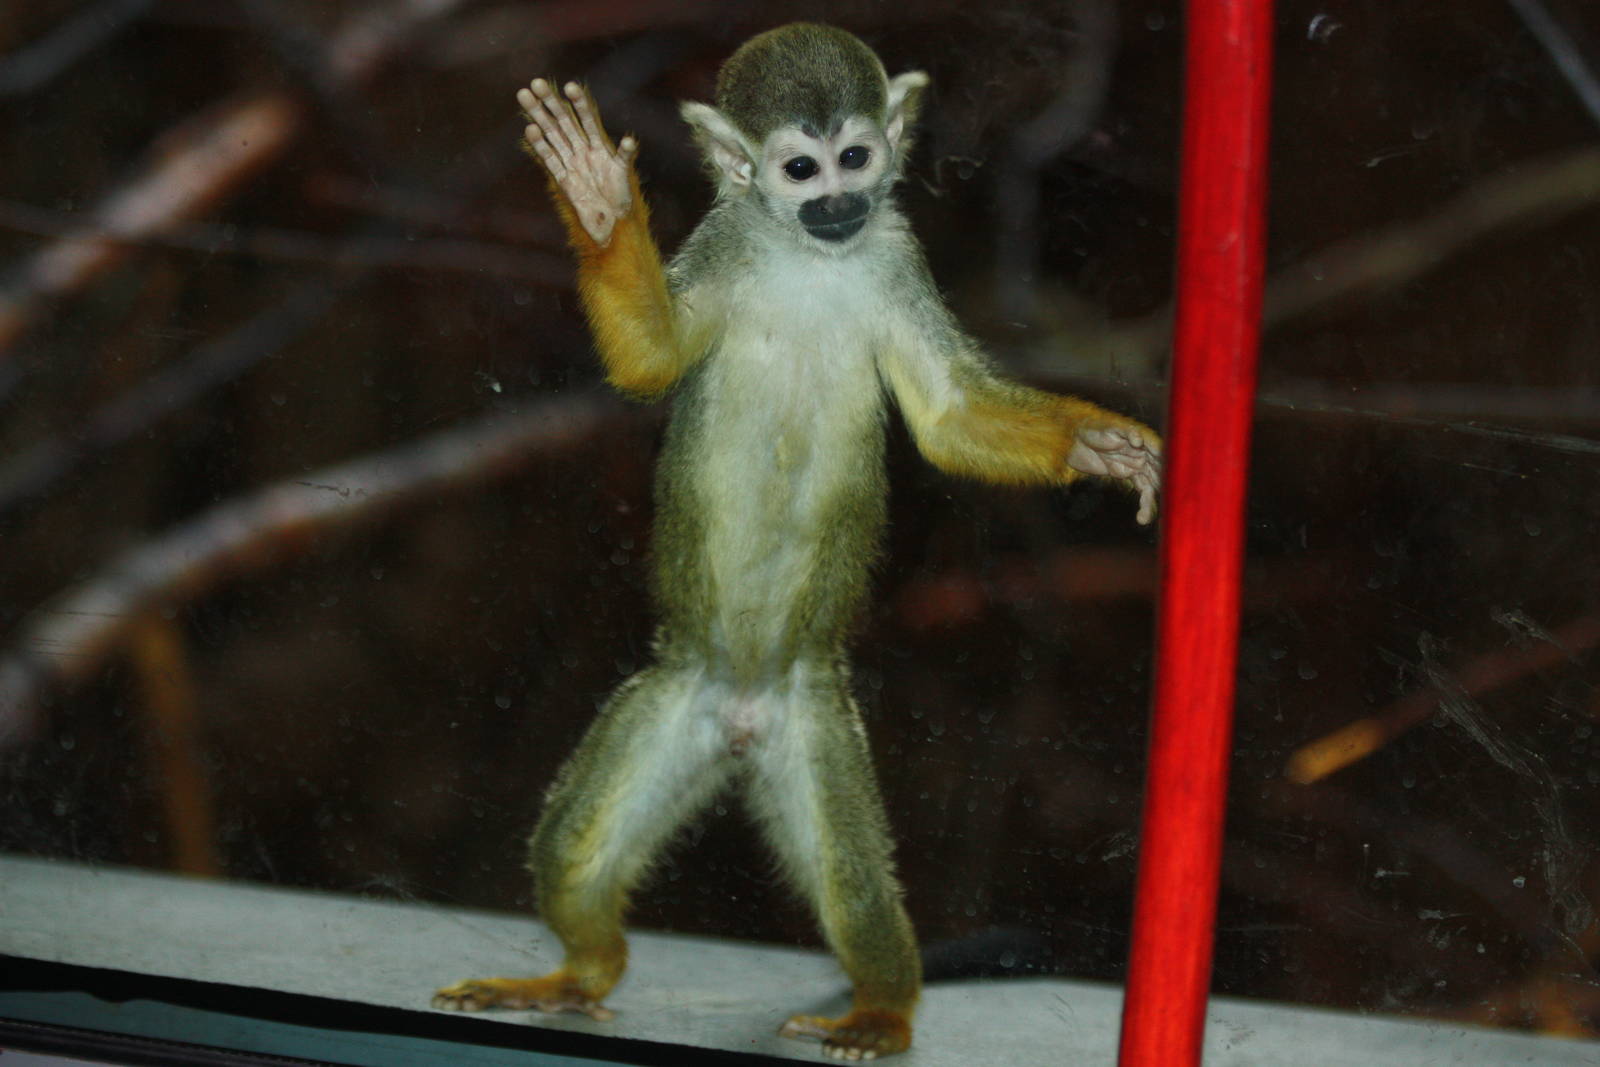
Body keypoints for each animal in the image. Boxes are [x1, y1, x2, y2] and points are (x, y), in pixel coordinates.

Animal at [433, 23, 1162, 1061]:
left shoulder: (894, 250)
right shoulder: (727, 237)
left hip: (815, 720)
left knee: (853, 883)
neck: (808, 257)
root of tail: (743, 712)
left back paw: (882, 1008)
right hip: (670, 698)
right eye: (799, 169)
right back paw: (580, 971)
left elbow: (949, 415)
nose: (839, 203)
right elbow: (652, 360)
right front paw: (599, 204)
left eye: (856, 157)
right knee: (571, 846)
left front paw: (1095, 444)